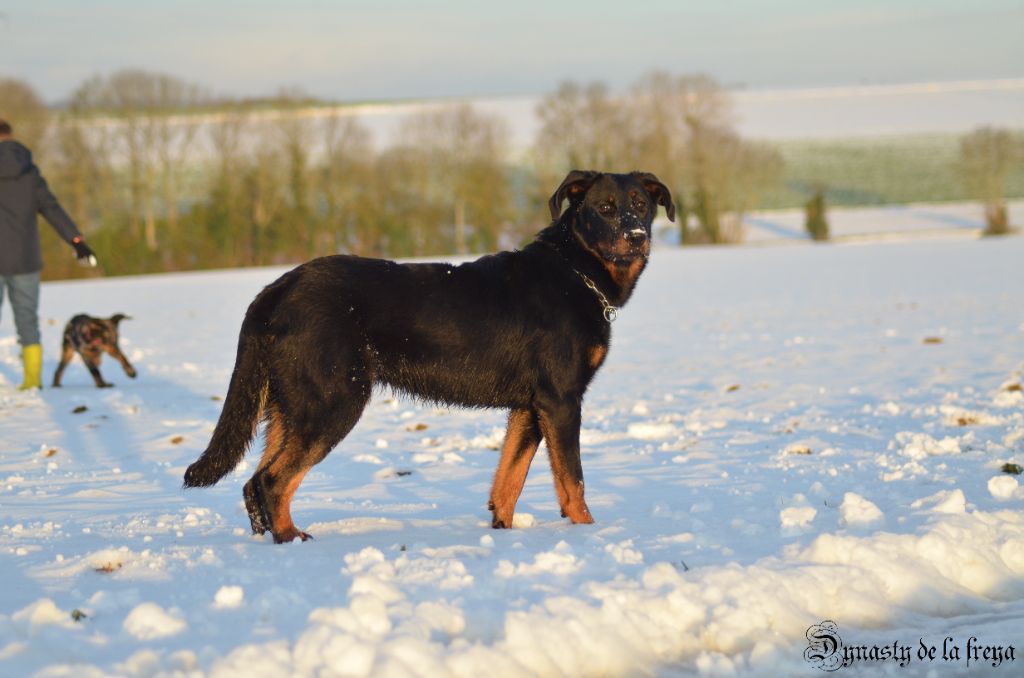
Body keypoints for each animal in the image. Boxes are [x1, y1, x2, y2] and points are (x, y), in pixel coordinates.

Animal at [186, 173, 671, 544]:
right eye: (604, 207)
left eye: (641, 205)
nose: (637, 237)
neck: (575, 271)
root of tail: (275, 290)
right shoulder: (562, 402)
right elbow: (573, 483)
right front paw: (589, 535)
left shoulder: (528, 409)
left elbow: (508, 482)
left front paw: (502, 534)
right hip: (332, 403)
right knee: (273, 481)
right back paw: (292, 540)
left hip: (291, 406)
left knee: (254, 483)